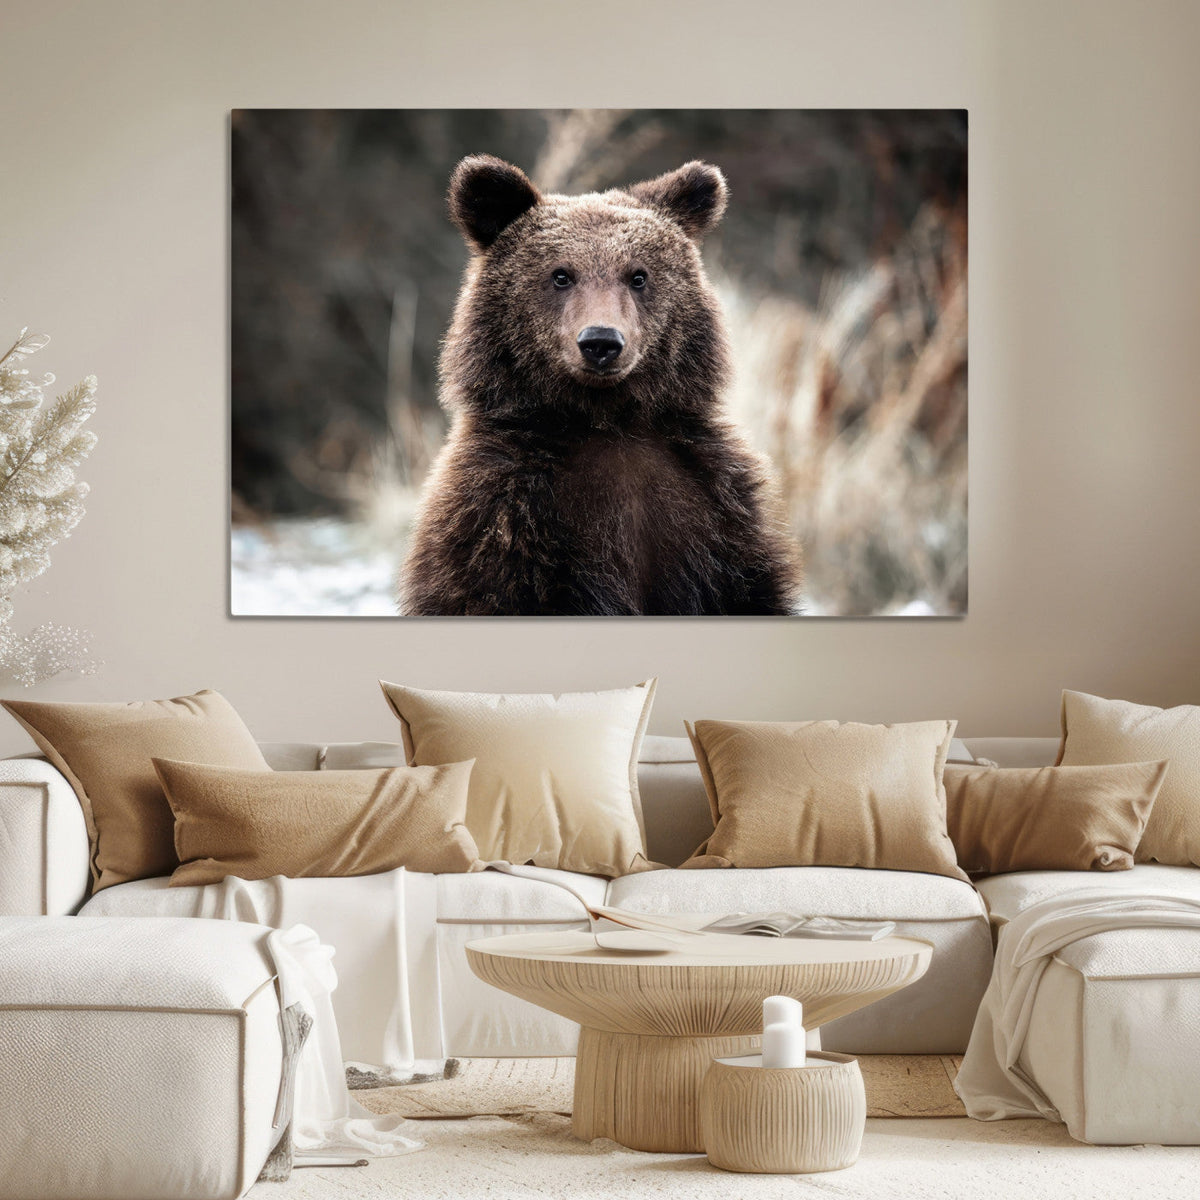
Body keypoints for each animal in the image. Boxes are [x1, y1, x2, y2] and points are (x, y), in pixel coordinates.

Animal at [399, 154, 802, 616]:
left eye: (638, 276)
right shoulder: (502, 519)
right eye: (560, 275)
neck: (606, 420)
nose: (601, 342)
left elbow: (747, 588)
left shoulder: (715, 513)